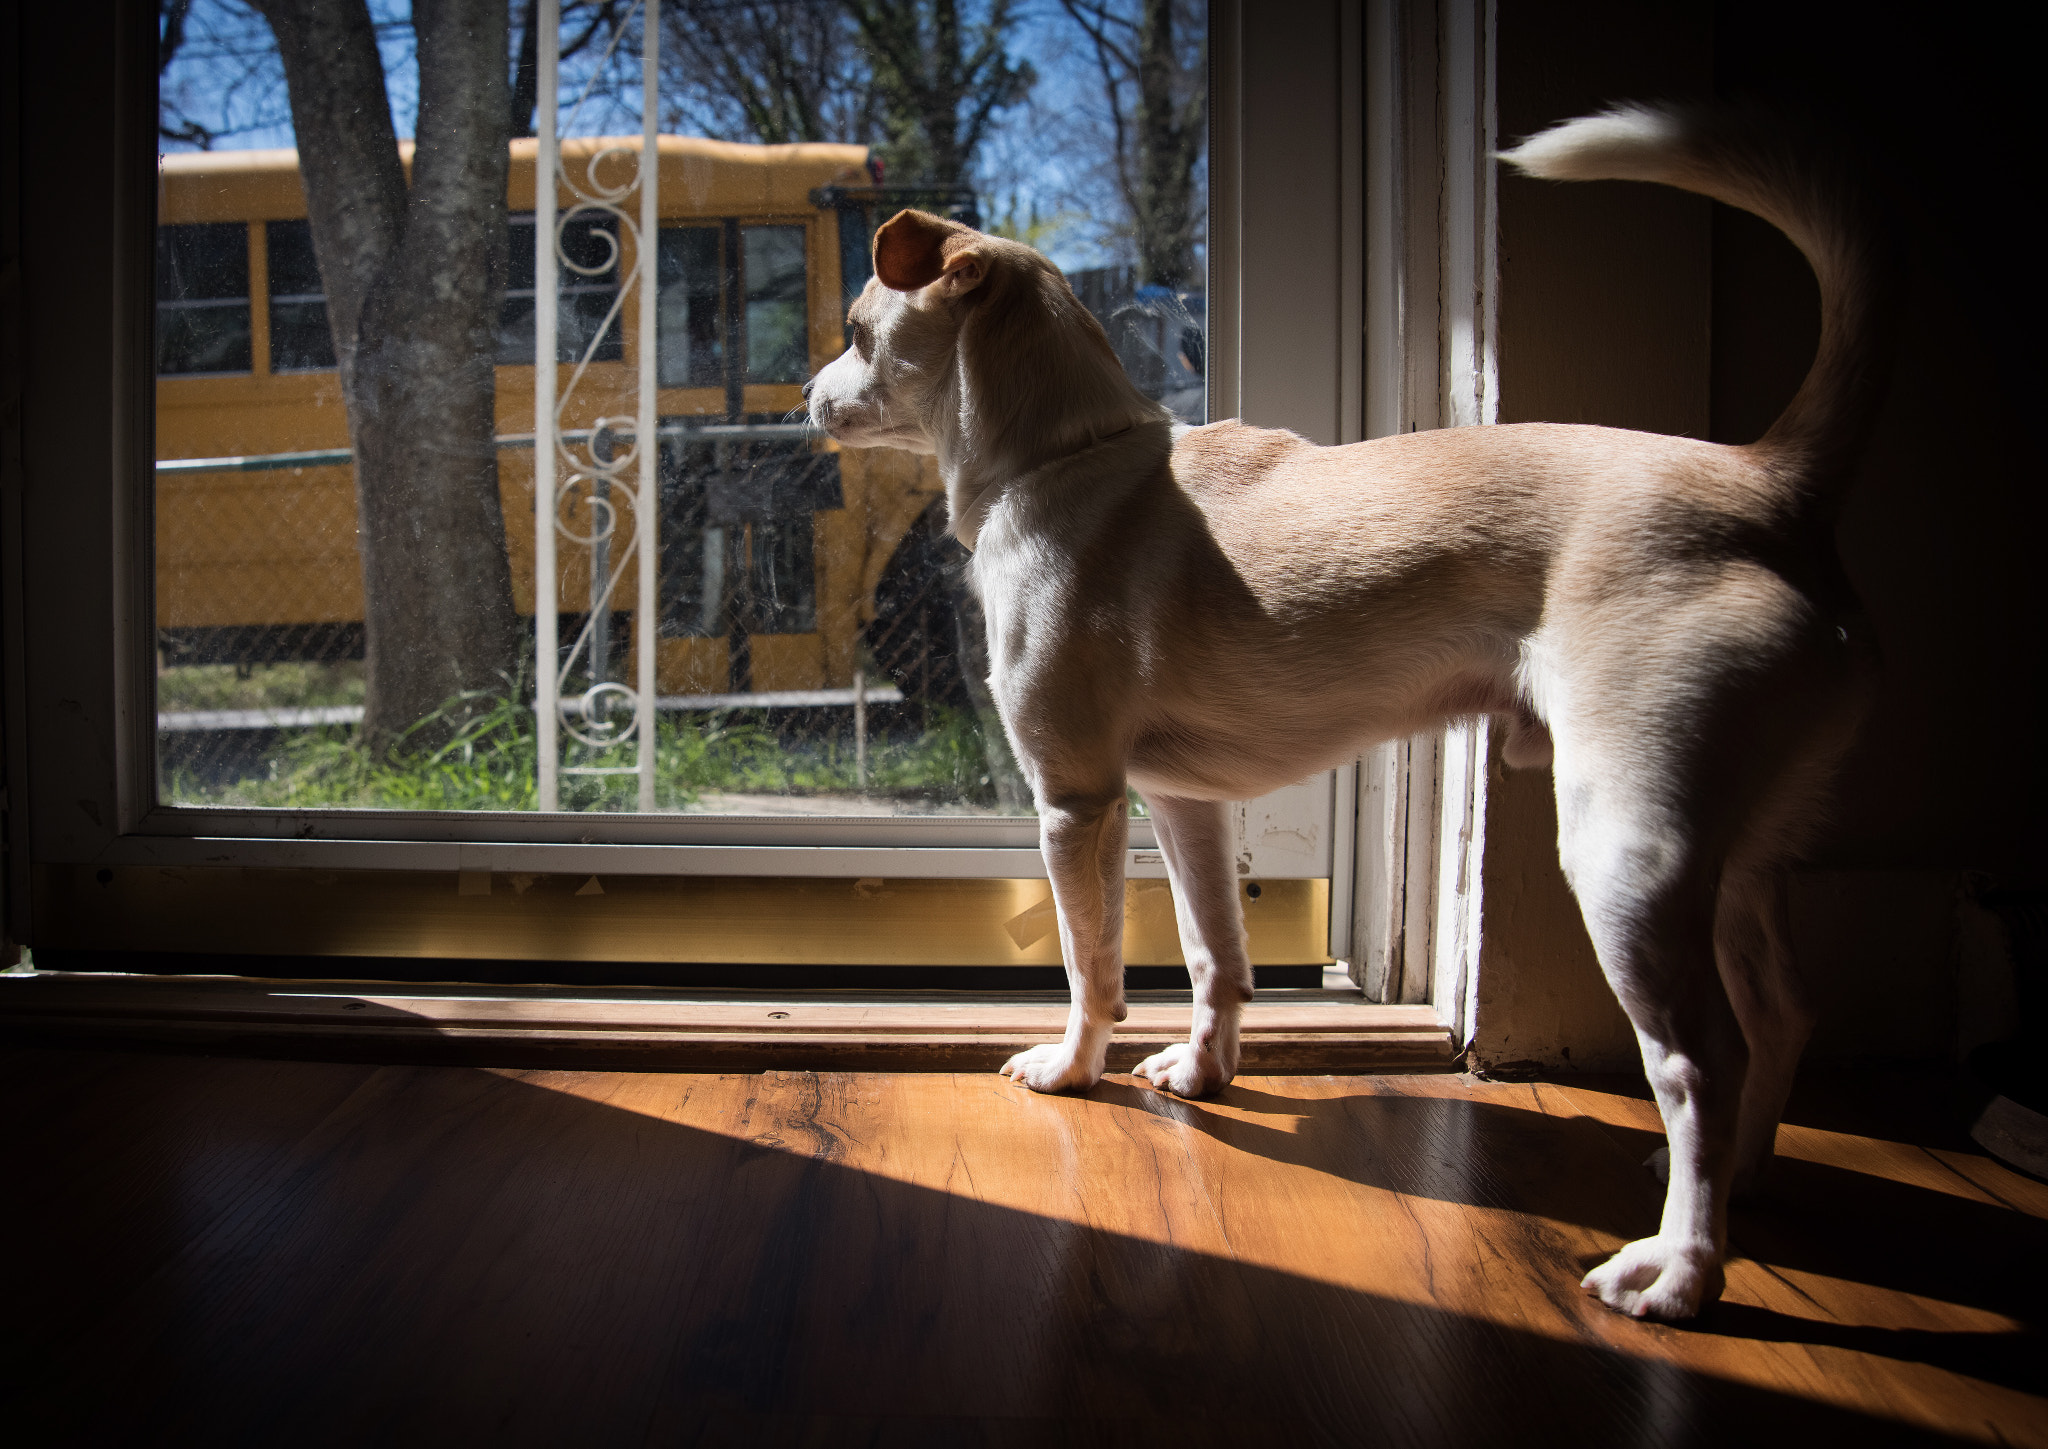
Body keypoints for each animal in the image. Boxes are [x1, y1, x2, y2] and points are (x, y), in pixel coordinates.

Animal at [806, 104, 1892, 1326]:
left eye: (856, 331)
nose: (803, 395)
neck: (1062, 459)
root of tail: (1765, 484)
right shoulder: (1184, 804)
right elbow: (1211, 953)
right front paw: (1204, 1073)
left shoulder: (1076, 802)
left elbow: (1093, 965)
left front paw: (1073, 1070)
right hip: (1741, 857)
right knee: (1781, 1014)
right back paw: (1742, 1181)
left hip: (1628, 854)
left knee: (1700, 1062)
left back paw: (1681, 1268)